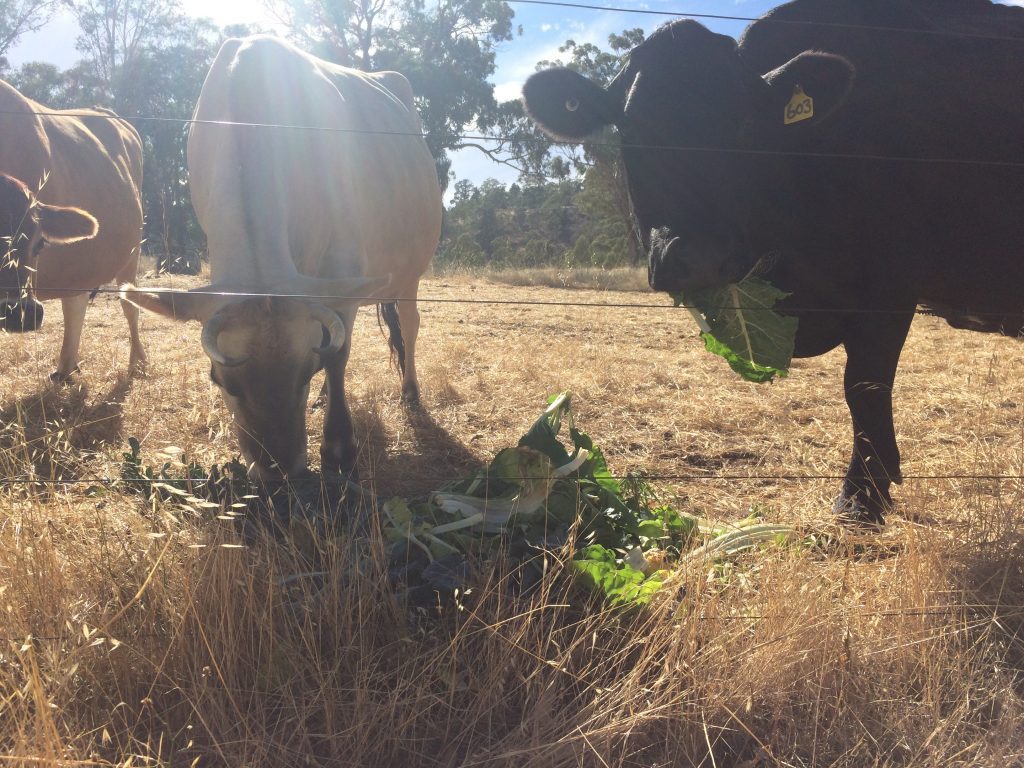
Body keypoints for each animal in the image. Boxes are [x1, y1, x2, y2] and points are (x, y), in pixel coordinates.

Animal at [0, 81, 148, 382]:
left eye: (40, 244)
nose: (20, 313)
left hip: (131, 252)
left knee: (130, 306)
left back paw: (137, 362)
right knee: (75, 302)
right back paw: (66, 366)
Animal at [524, 0, 1024, 524]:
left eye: (746, 126)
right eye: (632, 129)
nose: (697, 255)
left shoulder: (890, 284)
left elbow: (864, 387)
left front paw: (862, 498)